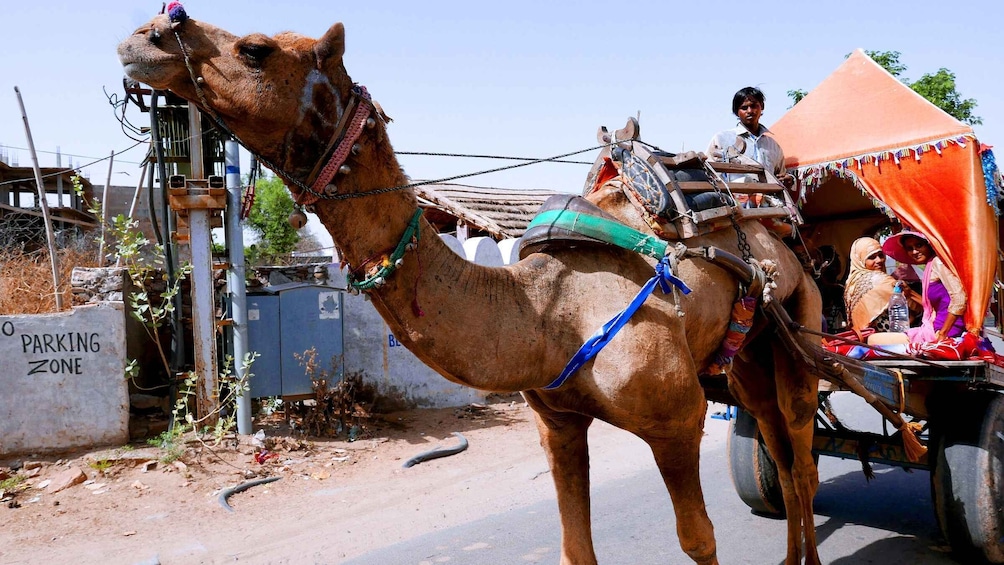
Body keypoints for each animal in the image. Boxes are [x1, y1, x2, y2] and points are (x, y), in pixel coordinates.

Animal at [117, 9, 823, 565]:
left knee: (802, 451)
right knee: (777, 444)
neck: (548, 313)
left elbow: (699, 540)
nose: (147, 35)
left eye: (255, 49)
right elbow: (575, 548)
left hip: (803, 319)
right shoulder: (556, 421)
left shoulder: (676, 417)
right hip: (747, 352)